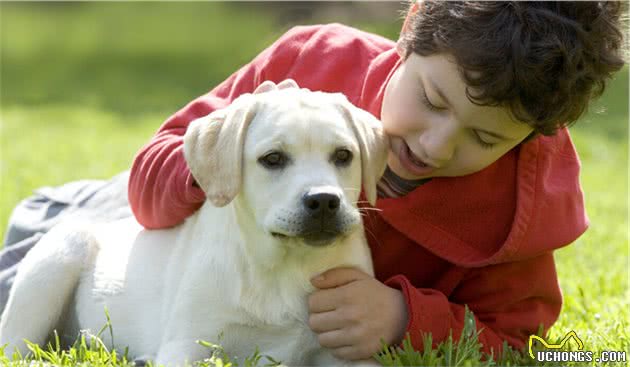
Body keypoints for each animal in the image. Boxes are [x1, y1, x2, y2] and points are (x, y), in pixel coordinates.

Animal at [0, 83, 390, 367]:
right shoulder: (186, 345)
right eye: (273, 159)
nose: (324, 201)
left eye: (344, 155)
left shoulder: (350, 354)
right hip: (56, 261)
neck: (282, 267)